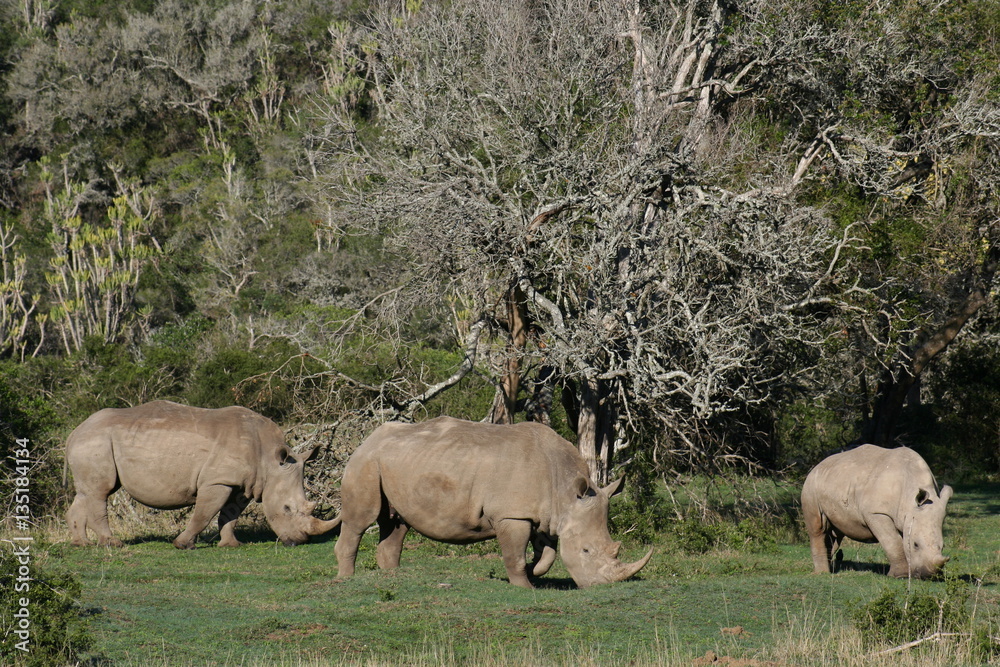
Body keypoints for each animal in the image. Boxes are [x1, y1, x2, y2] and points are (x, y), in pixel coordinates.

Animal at [66, 400, 338, 549]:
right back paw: (113, 544)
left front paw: (231, 545)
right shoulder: (217, 481)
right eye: (287, 508)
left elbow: (230, 514)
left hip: (93, 443)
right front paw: (183, 545)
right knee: (101, 491)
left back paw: (82, 544)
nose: (299, 541)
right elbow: (204, 513)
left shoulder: (243, 484)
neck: (269, 460)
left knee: (86, 491)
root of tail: (75, 431)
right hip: (97, 441)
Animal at [332, 417, 652, 588]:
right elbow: (515, 555)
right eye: (586, 550)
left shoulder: (546, 515)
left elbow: (547, 553)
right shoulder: (512, 515)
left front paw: (535, 572)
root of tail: (368, 438)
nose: (601, 587)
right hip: (366, 461)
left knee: (397, 523)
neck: (564, 490)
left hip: (397, 463)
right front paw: (524, 586)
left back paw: (394, 576)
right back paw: (346, 578)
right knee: (361, 520)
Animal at [801, 444, 952, 579]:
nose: (928, 576)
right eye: (915, 545)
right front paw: (901, 576)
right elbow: (893, 542)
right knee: (818, 529)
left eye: (943, 546)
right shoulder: (877, 513)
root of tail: (818, 465)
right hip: (811, 487)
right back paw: (822, 574)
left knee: (836, 534)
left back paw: (831, 569)